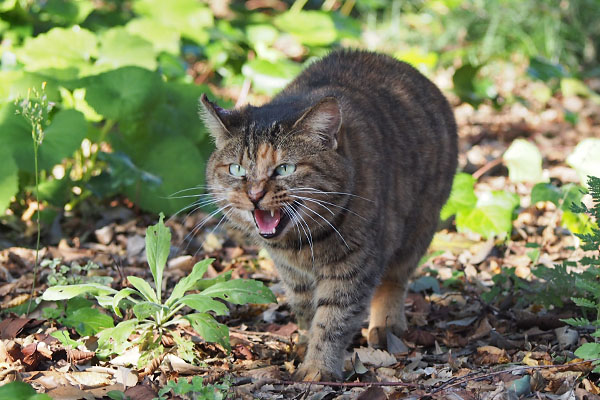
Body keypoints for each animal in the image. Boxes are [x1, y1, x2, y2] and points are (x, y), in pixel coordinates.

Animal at [199, 50, 458, 382]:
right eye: (236, 169)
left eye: (285, 168)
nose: (254, 194)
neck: (299, 244)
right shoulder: (292, 275)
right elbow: (306, 311)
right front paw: (305, 343)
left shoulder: (351, 268)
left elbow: (333, 320)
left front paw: (317, 367)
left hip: (419, 227)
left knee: (394, 279)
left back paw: (386, 324)